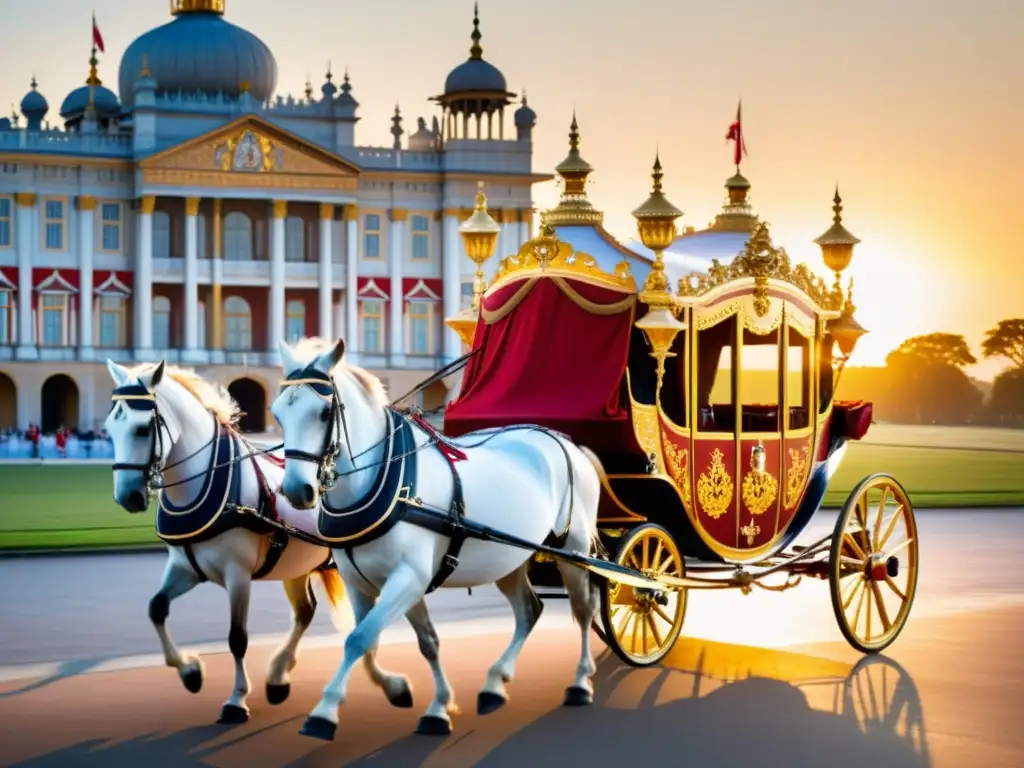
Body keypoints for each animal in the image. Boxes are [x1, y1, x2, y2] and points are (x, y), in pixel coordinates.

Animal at [105, 360, 425, 720]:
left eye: (141, 429)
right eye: (109, 428)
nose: (127, 496)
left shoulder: (237, 573)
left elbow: (237, 637)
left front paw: (236, 698)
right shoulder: (184, 567)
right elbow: (156, 608)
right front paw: (189, 670)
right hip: (299, 567)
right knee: (308, 613)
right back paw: (280, 674)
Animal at [274, 339, 606, 741]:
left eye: (324, 412)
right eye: (278, 414)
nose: (296, 491)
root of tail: (567, 442)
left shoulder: (408, 577)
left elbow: (359, 640)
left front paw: (324, 712)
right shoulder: (367, 583)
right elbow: (400, 641)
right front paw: (424, 700)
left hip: (572, 551)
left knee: (583, 610)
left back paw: (579, 682)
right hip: (508, 559)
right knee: (530, 610)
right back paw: (495, 683)